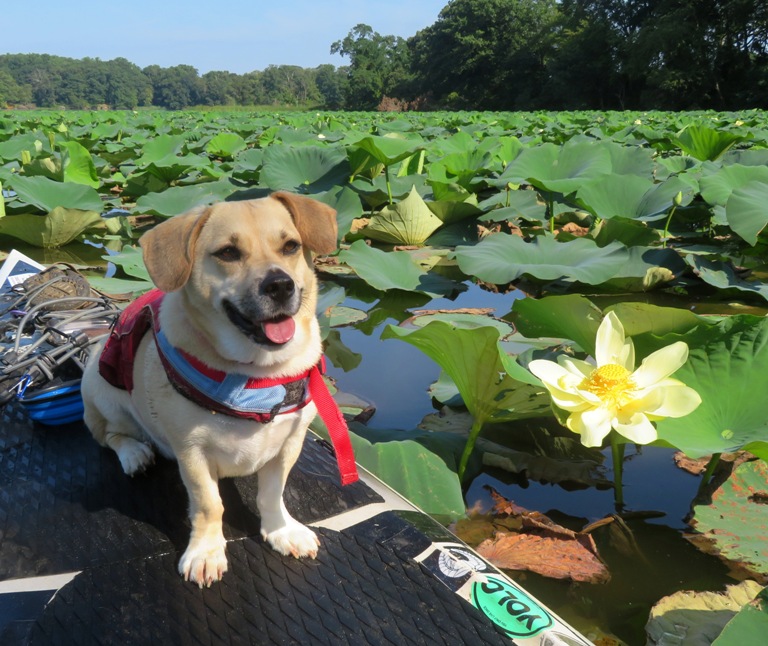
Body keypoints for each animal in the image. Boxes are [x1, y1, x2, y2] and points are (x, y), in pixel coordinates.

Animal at [80, 191, 340, 588]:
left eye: (291, 246)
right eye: (228, 253)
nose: (280, 285)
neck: (257, 374)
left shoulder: (289, 446)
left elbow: (272, 494)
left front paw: (281, 530)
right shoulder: (193, 454)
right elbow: (208, 504)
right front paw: (206, 552)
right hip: (102, 392)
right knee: (110, 435)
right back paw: (134, 453)